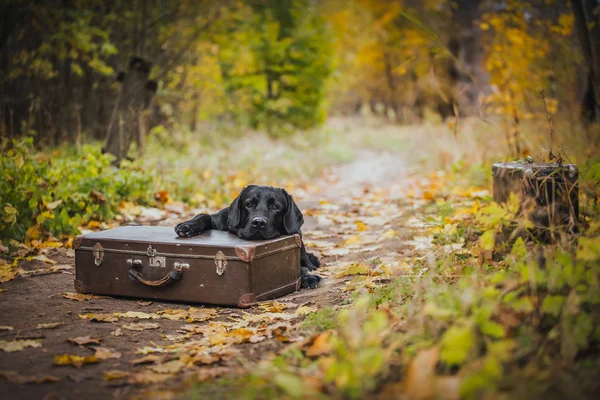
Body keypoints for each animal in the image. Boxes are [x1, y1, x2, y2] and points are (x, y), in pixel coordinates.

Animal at [175, 184, 322, 288]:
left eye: (275, 206)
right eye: (249, 204)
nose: (258, 222)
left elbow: (300, 268)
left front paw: (307, 277)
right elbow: (204, 215)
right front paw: (187, 226)